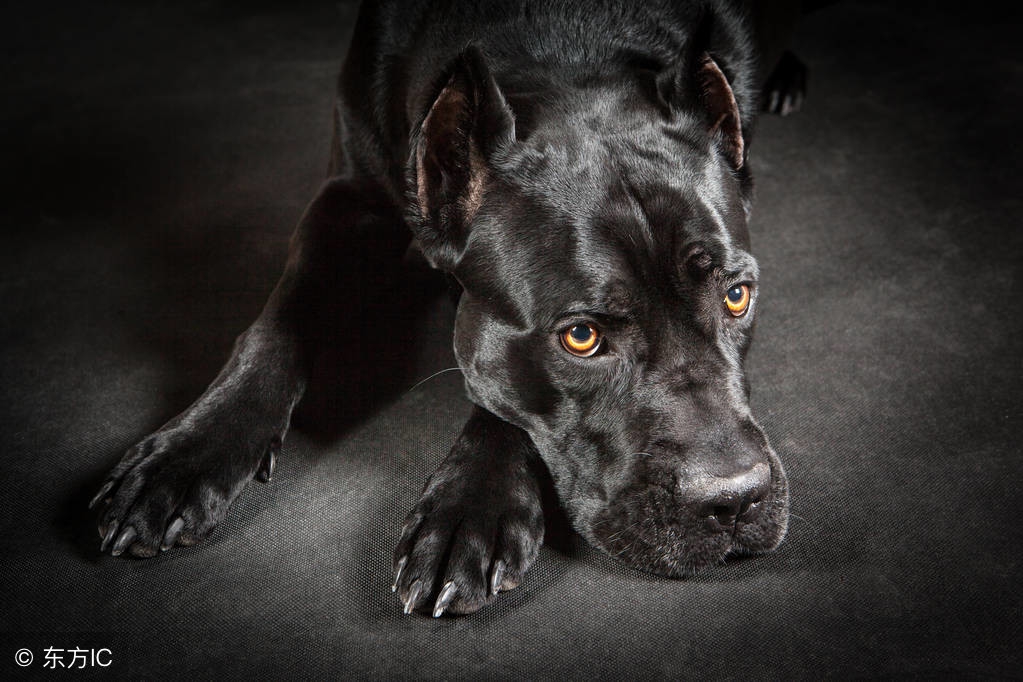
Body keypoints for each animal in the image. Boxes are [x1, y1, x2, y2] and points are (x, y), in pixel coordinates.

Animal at [92, 0, 802, 617]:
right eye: (581, 337)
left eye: (736, 296)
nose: (734, 500)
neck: (563, 46)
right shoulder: (350, 194)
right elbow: (278, 321)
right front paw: (187, 454)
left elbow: (499, 400)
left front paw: (470, 512)